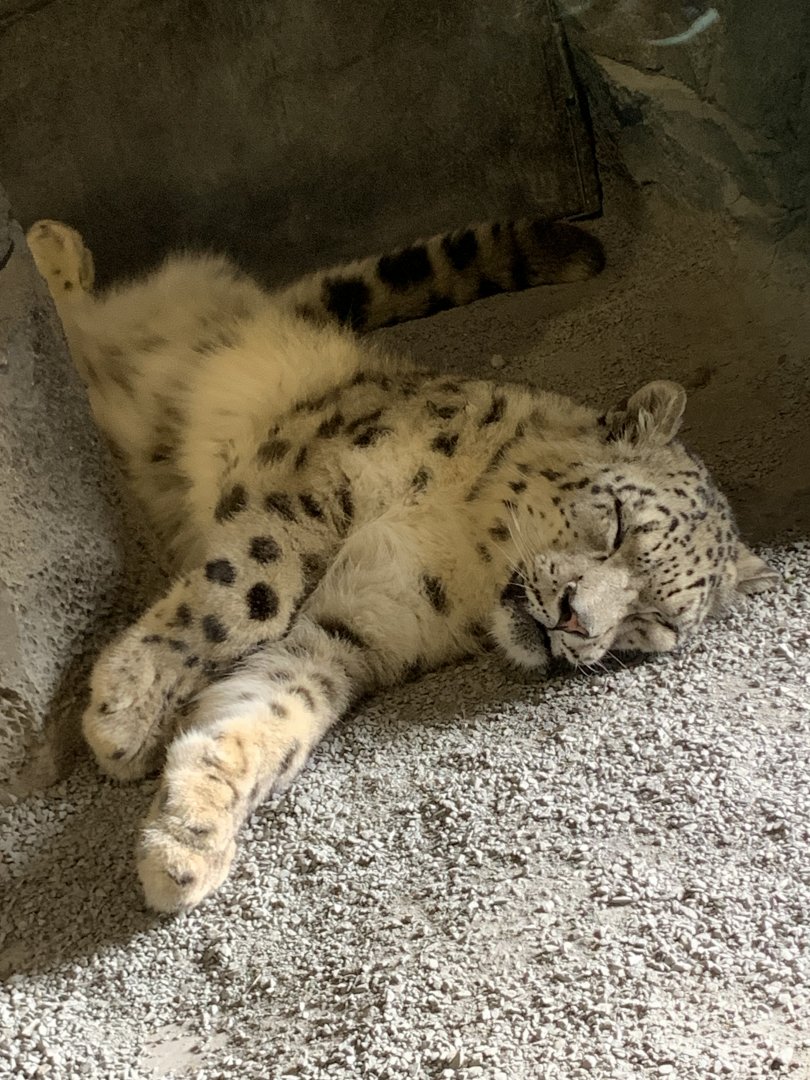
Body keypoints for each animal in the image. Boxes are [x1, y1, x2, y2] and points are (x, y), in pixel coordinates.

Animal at [26, 215, 778, 914]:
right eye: (617, 524)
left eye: (654, 622)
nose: (577, 623)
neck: (463, 551)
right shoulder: (312, 479)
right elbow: (248, 597)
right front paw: (125, 713)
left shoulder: (356, 630)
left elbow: (277, 708)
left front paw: (189, 837)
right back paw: (48, 248)